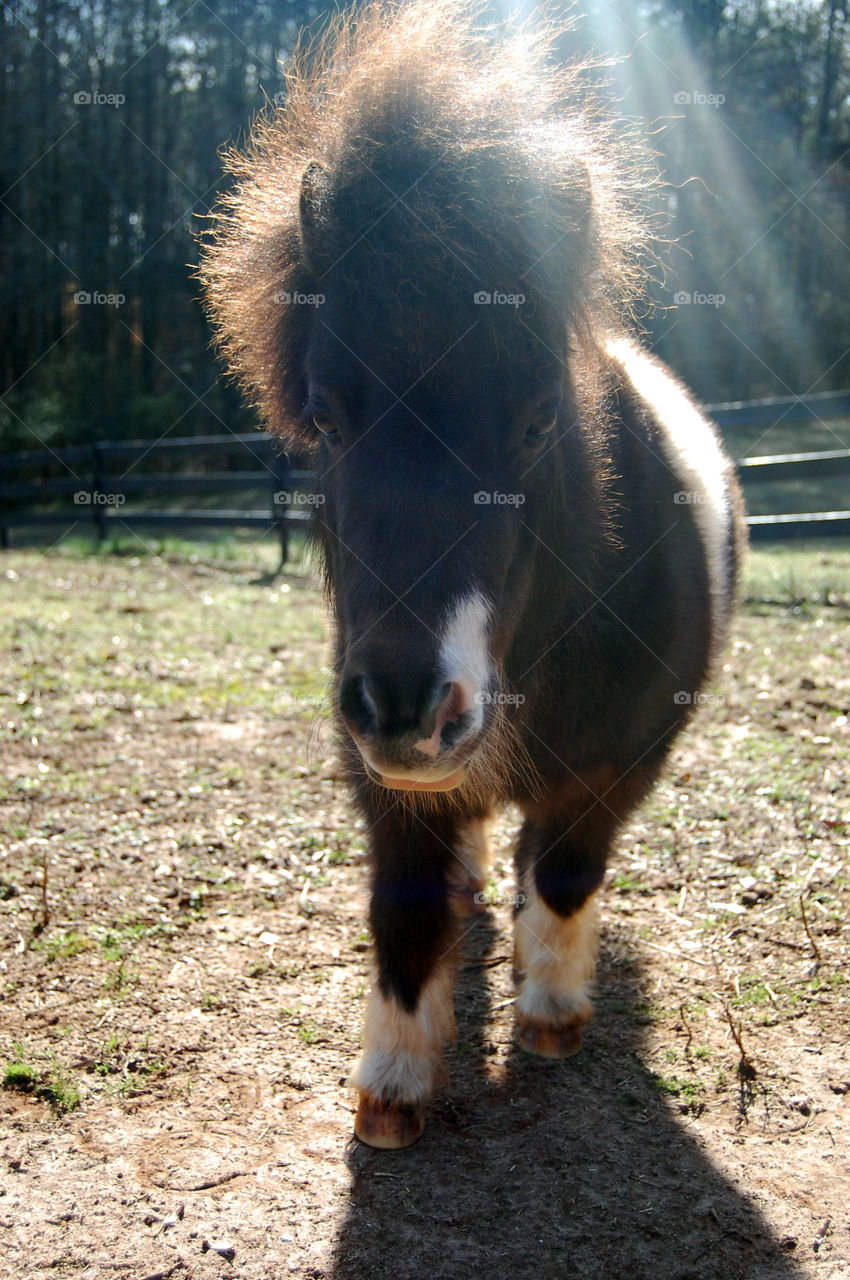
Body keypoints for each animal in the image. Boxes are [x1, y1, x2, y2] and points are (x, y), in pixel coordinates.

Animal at [200, 0, 746, 1149]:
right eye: (324, 418)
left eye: (540, 421)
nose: (407, 705)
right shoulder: (379, 773)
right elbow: (404, 902)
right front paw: (394, 1080)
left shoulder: (622, 760)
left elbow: (568, 870)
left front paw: (552, 1012)